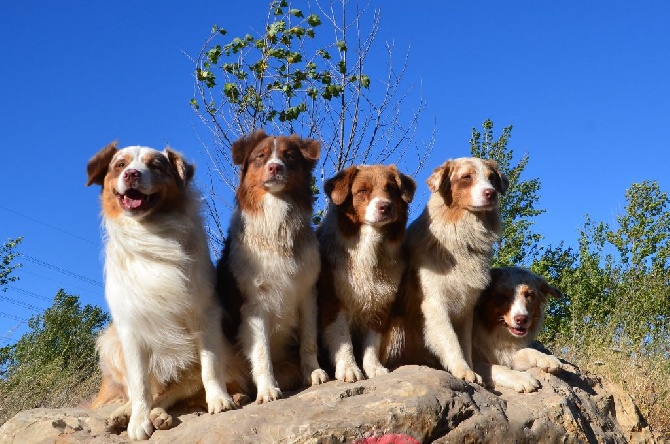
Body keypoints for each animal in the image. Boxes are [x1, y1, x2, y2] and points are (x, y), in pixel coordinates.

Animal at [86, 142, 239, 440]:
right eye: (119, 165)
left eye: (155, 165)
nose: (132, 174)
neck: (152, 233)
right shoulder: (130, 328)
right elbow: (139, 385)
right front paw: (137, 422)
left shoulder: (205, 314)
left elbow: (210, 366)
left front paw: (219, 399)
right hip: (110, 342)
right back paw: (125, 415)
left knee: (178, 389)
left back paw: (160, 415)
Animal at [217, 128, 330, 402]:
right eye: (261, 156)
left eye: (289, 156)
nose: (275, 167)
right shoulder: (254, 304)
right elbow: (261, 351)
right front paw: (267, 388)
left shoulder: (307, 293)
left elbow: (308, 340)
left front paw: (314, 372)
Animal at [318, 163, 418, 382]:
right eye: (362, 191)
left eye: (391, 189)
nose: (385, 206)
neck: (369, 247)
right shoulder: (333, 301)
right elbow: (343, 339)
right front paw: (349, 368)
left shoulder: (381, 304)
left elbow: (372, 342)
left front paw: (374, 368)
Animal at [384, 158, 510, 384]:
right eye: (466, 177)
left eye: (492, 178)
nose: (491, 193)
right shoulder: (435, 302)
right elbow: (450, 340)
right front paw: (463, 371)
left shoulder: (466, 307)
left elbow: (464, 343)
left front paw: (472, 370)